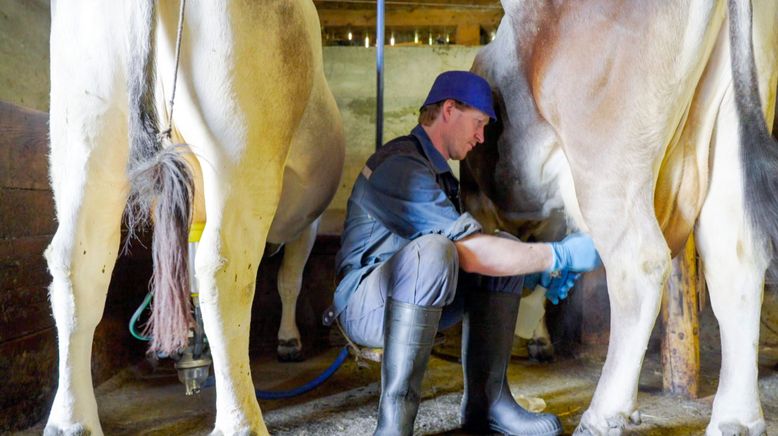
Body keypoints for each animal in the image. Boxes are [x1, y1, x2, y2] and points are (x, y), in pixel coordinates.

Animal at [44, 1, 342, 434]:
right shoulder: (307, 223)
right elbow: (290, 280)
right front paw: (289, 341)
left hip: (85, 131)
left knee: (76, 264)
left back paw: (71, 419)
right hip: (242, 142)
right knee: (224, 271)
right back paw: (241, 420)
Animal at [464, 0, 772, 436]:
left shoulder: (477, 197)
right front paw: (539, 337)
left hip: (608, 164)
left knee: (639, 266)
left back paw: (604, 413)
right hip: (730, 132)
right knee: (736, 262)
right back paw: (736, 418)